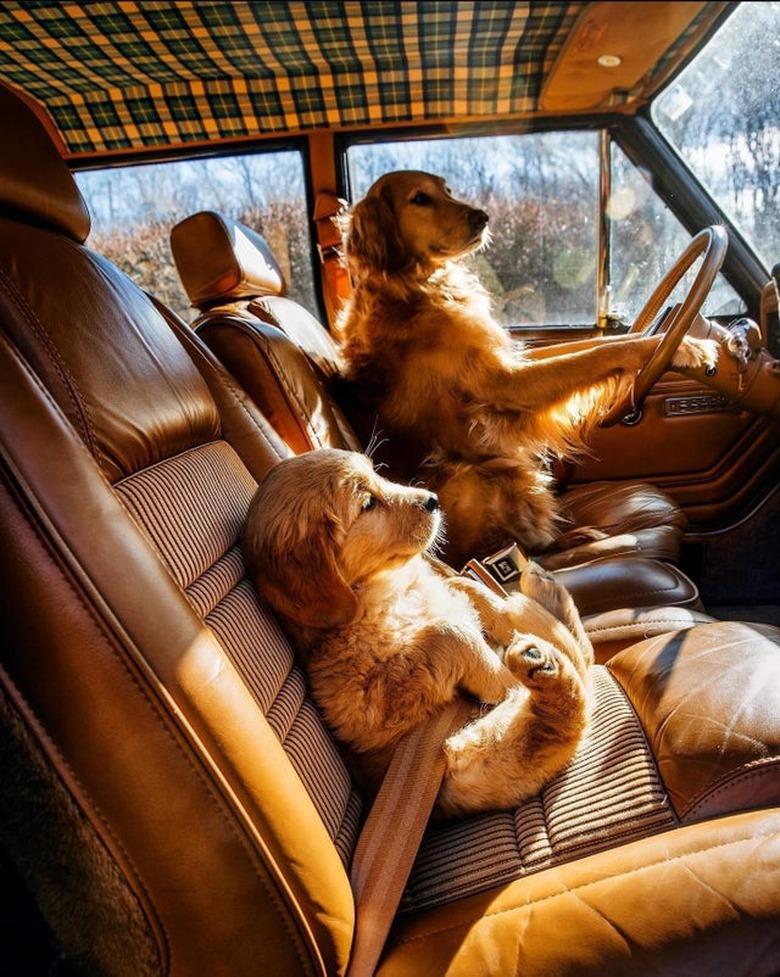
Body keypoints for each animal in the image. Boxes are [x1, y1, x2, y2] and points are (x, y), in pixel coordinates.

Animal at [244, 448, 592, 816]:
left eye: (378, 474)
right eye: (368, 503)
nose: (434, 500)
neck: (387, 590)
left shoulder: (441, 584)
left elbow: (466, 588)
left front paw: (494, 609)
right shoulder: (369, 704)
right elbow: (447, 630)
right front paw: (502, 680)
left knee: (580, 658)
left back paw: (546, 592)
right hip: (476, 753)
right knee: (560, 720)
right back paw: (539, 665)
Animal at [336, 168, 720, 564]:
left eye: (448, 190)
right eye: (420, 199)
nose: (482, 217)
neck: (416, 285)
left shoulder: (510, 360)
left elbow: (600, 345)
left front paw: (668, 336)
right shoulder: (505, 384)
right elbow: (602, 354)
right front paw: (683, 345)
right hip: (472, 477)